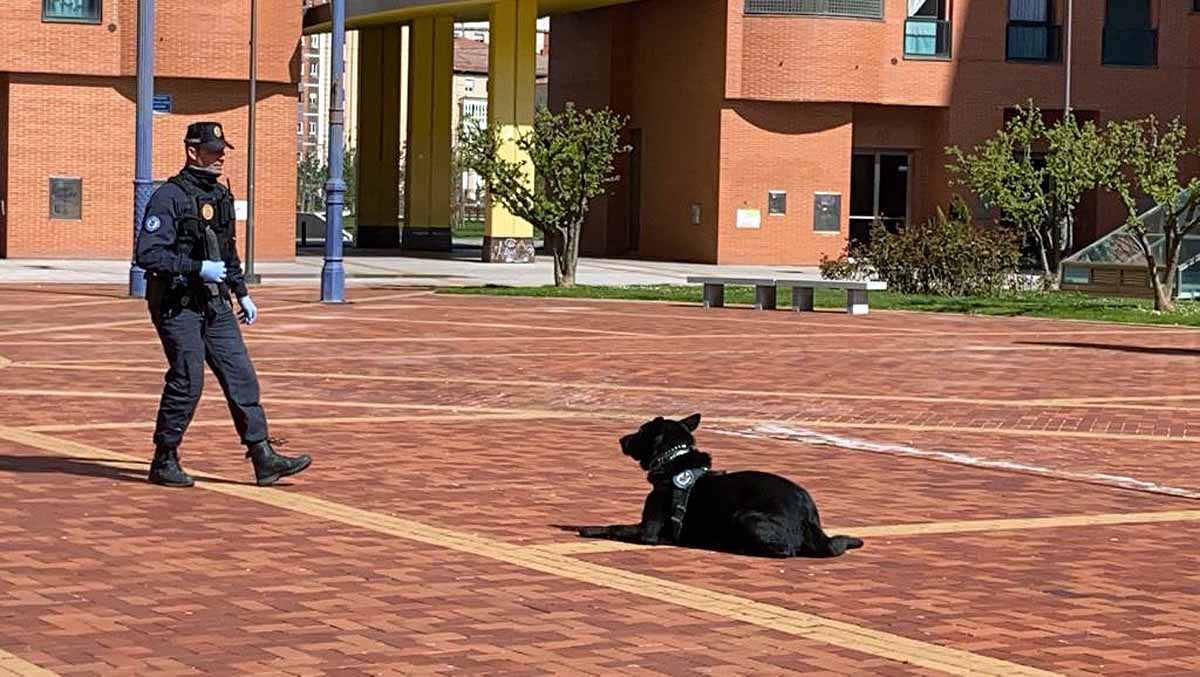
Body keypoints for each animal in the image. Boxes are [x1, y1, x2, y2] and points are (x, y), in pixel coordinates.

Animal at [573, 415, 864, 556]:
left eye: (641, 431)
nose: (621, 439)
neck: (675, 460)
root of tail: (808, 513)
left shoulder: (648, 531)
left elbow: (614, 527)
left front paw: (589, 529)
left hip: (744, 516)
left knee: (787, 551)